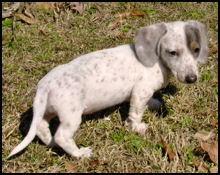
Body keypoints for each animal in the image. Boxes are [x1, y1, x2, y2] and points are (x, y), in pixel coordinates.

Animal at [8, 20, 208, 159]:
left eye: (196, 49)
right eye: (172, 52)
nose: (192, 79)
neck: (157, 59)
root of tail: (45, 84)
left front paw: (153, 104)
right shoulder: (140, 92)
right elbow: (136, 113)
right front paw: (137, 128)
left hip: (49, 108)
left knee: (42, 127)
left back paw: (51, 143)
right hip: (71, 114)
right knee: (62, 136)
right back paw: (80, 154)